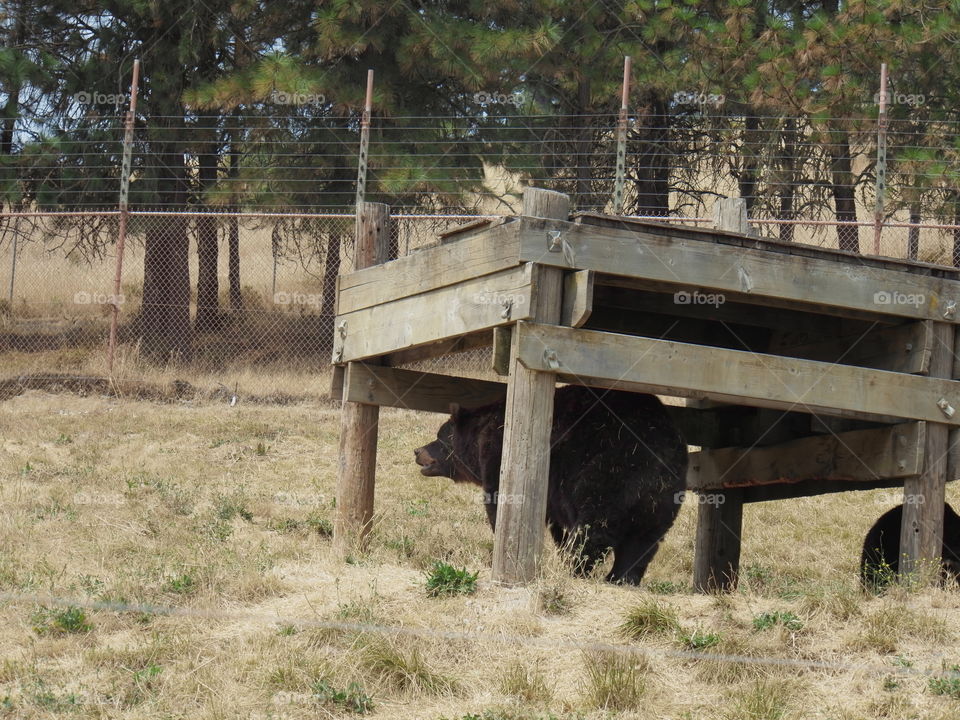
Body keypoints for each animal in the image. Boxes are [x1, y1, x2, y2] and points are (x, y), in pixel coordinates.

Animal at [412, 386, 688, 584]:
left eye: (438, 436)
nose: (417, 451)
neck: (479, 442)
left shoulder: (498, 455)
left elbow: (499, 501)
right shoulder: (555, 493)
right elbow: (556, 522)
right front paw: (559, 546)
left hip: (608, 471)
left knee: (594, 528)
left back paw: (579, 568)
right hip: (663, 498)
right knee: (644, 541)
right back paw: (620, 577)